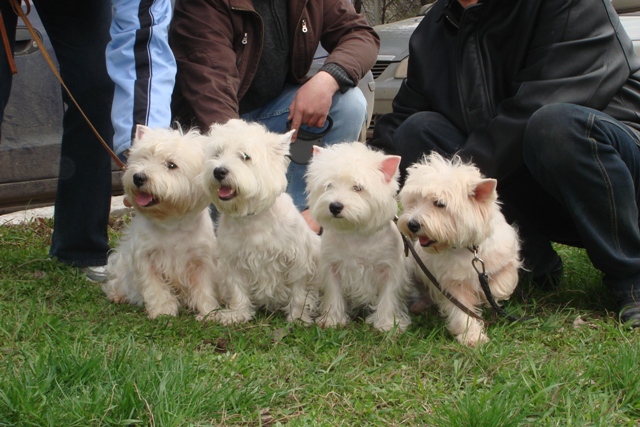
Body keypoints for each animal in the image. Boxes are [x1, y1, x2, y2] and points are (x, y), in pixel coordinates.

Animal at [101, 126, 219, 320]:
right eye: (143, 158)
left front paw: (208, 311)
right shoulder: (146, 257)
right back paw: (117, 295)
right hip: (121, 263)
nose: (138, 177)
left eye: (171, 165)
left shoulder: (201, 258)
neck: (172, 223)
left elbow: (204, 285)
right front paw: (163, 311)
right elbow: (154, 287)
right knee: (116, 280)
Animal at [201, 119, 318, 324]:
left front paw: (298, 317)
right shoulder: (232, 260)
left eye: (245, 156)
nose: (218, 171)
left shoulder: (299, 259)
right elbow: (237, 288)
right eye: (218, 153)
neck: (252, 218)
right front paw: (237, 314)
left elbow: (299, 290)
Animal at [304, 142, 410, 332]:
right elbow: (333, 292)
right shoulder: (332, 266)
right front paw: (332, 319)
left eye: (358, 188)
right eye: (329, 185)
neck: (356, 234)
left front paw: (387, 324)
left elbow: (388, 296)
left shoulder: (390, 268)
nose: (335, 206)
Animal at [400, 152, 520, 346]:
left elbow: (503, 283)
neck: (469, 249)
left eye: (440, 204)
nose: (412, 224)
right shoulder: (452, 284)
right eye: (414, 201)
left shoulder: (506, 257)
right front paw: (472, 337)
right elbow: (462, 312)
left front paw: (489, 297)